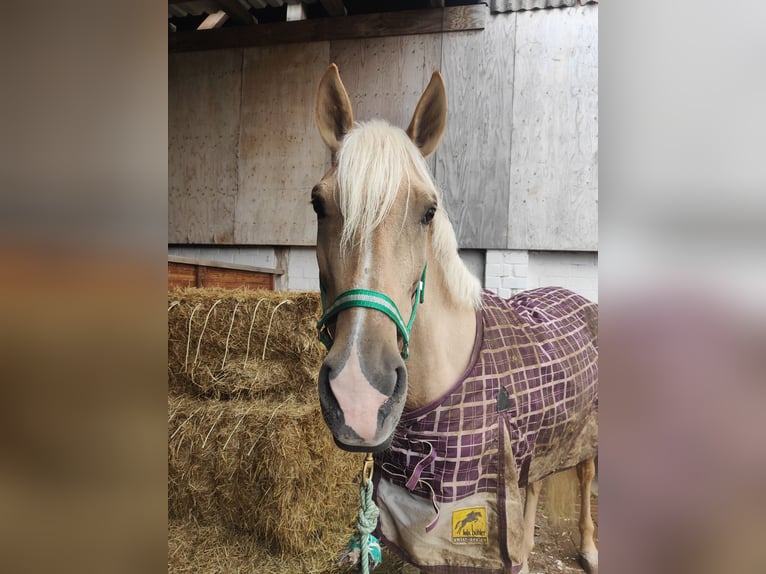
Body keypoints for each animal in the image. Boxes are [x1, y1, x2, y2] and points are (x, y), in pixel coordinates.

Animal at [312, 64, 600, 574]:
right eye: (318, 204)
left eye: (429, 211)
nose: (359, 396)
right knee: (537, 482)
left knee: (586, 472)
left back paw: (588, 548)